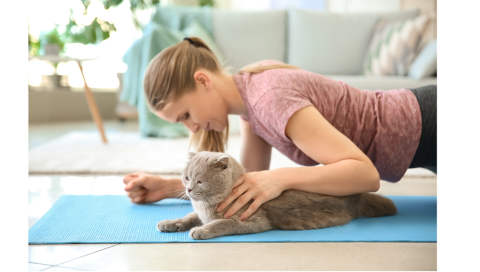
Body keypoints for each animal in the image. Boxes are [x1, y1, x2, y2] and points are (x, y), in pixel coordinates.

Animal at [158, 151, 398, 240]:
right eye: (186, 177)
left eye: (200, 180)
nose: (189, 190)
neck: (207, 207)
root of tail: (357, 196)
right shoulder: (198, 212)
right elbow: (188, 216)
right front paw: (170, 223)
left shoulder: (252, 219)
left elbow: (221, 223)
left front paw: (201, 231)